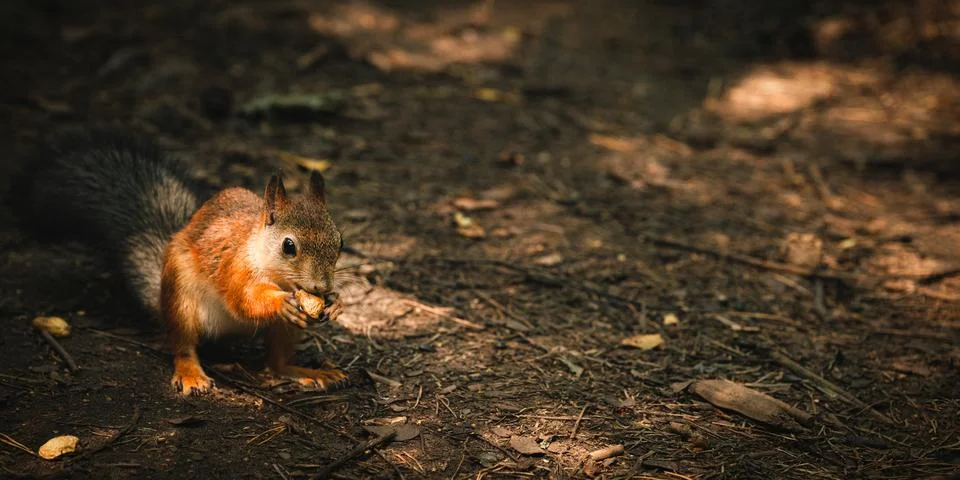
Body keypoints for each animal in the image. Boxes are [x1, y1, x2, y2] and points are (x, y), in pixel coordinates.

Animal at [26, 128, 347, 395]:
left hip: (282, 329)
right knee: (182, 346)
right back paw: (191, 374)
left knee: (276, 364)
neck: (276, 274)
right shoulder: (234, 266)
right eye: (288, 246)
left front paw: (336, 302)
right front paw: (282, 302)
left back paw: (308, 372)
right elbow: (243, 299)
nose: (321, 287)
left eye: (340, 241)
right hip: (181, 299)